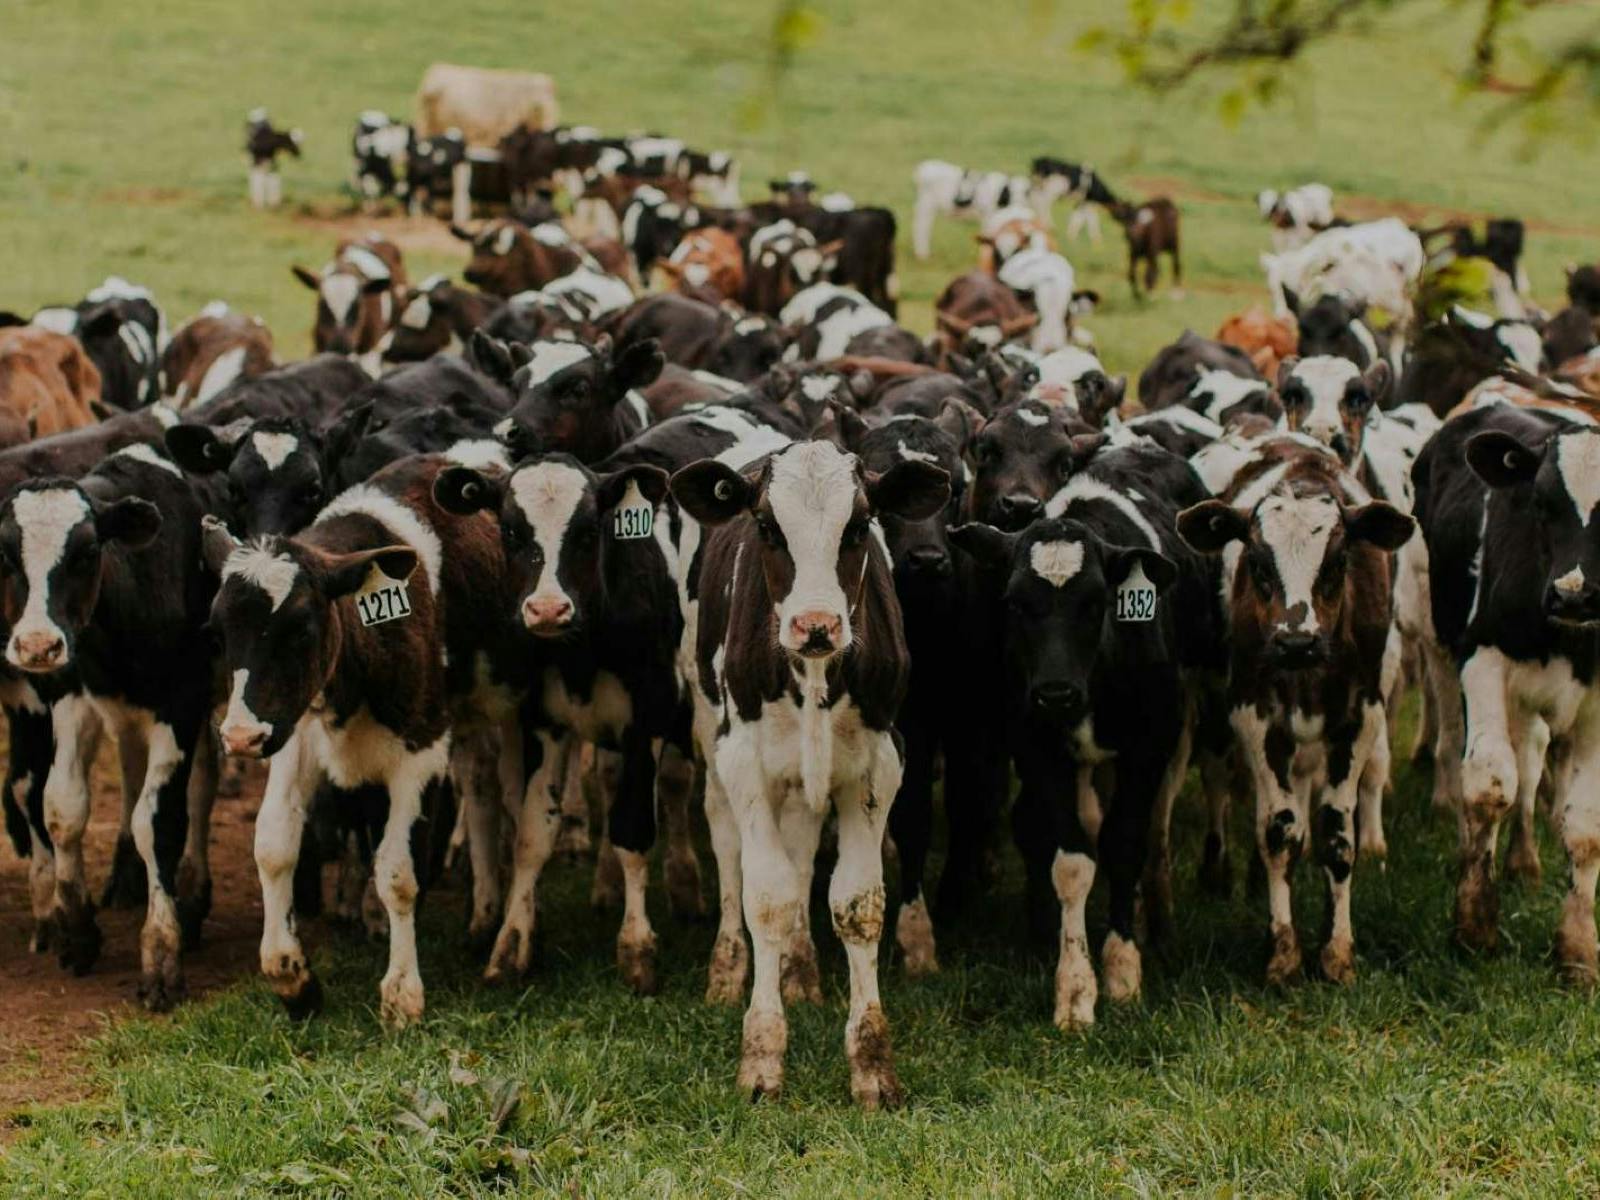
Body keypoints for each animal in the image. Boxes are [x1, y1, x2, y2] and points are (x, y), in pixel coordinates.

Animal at [0, 448, 219, 1008]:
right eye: (6, 554)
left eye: (86, 550)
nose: (36, 645)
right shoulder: (71, 690)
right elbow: (62, 808)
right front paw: (77, 930)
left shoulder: (182, 702)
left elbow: (159, 822)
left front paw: (162, 955)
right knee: (132, 765)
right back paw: (126, 879)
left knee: (201, 785)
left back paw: (191, 897)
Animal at [670, 439, 949, 1107]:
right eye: (768, 527)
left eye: (859, 526)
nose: (815, 624)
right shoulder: (744, 761)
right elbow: (766, 898)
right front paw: (762, 1056)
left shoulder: (879, 765)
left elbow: (856, 903)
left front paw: (872, 1064)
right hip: (711, 731)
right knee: (729, 849)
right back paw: (728, 967)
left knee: (799, 856)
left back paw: (799, 969)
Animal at [1179, 442, 1414, 985]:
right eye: (1258, 562)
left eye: (1338, 560)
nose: (1296, 642)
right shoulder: (1255, 715)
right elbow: (1279, 829)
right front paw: (1284, 951)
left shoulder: (1360, 718)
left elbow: (1337, 833)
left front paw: (1337, 948)